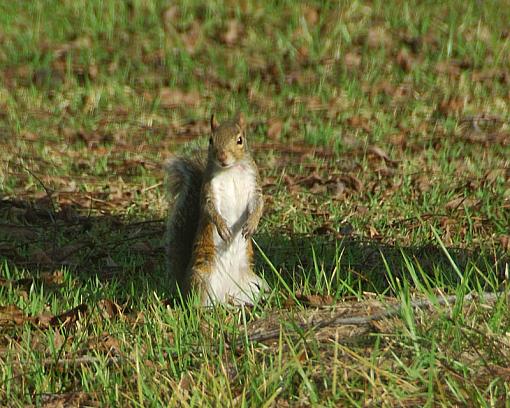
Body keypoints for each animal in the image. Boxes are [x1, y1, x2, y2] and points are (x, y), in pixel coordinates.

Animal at [165, 113, 268, 304]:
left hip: (253, 283)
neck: (230, 170)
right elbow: (209, 209)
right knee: (200, 305)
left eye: (240, 140)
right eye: (211, 140)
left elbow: (258, 203)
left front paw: (252, 224)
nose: (222, 156)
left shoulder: (253, 185)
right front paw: (222, 227)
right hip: (203, 278)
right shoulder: (209, 190)